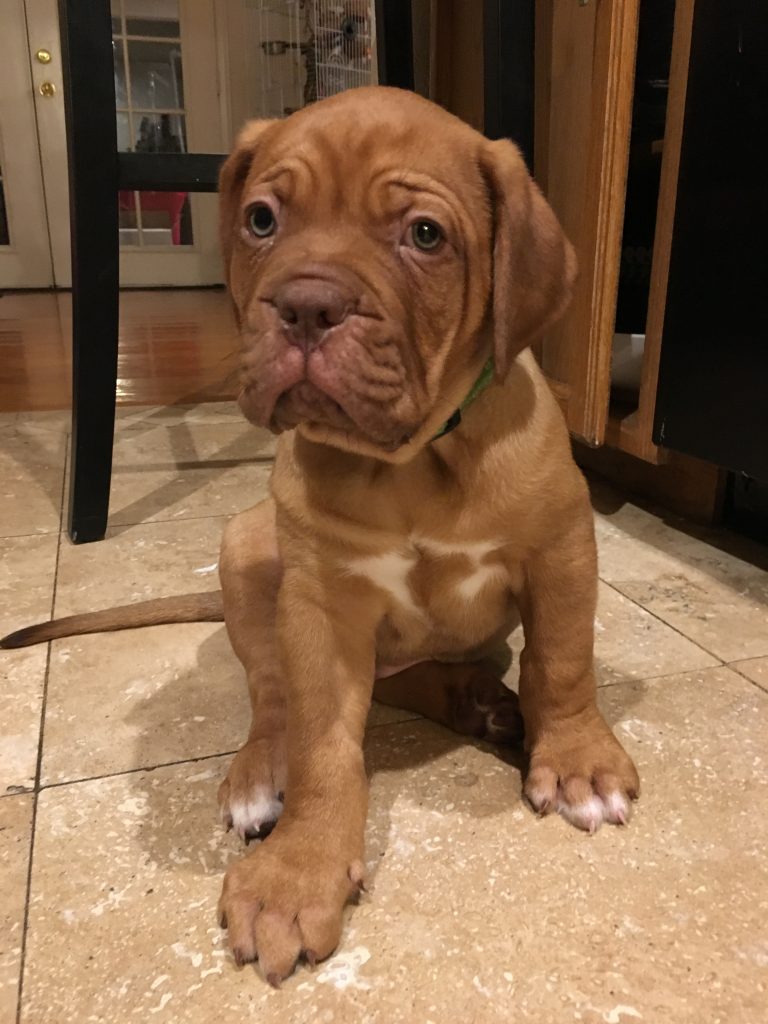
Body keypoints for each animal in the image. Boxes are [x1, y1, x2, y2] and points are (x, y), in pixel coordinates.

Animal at [1, 90, 638, 991]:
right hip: (246, 547)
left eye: (425, 235)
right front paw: (298, 873)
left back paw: (477, 700)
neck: (411, 459)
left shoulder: (561, 548)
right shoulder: (322, 610)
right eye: (262, 220)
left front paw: (579, 759)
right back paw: (263, 774)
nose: (304, 305)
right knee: (273, 699)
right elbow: (322, 747)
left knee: (427, 676)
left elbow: (564, 661)